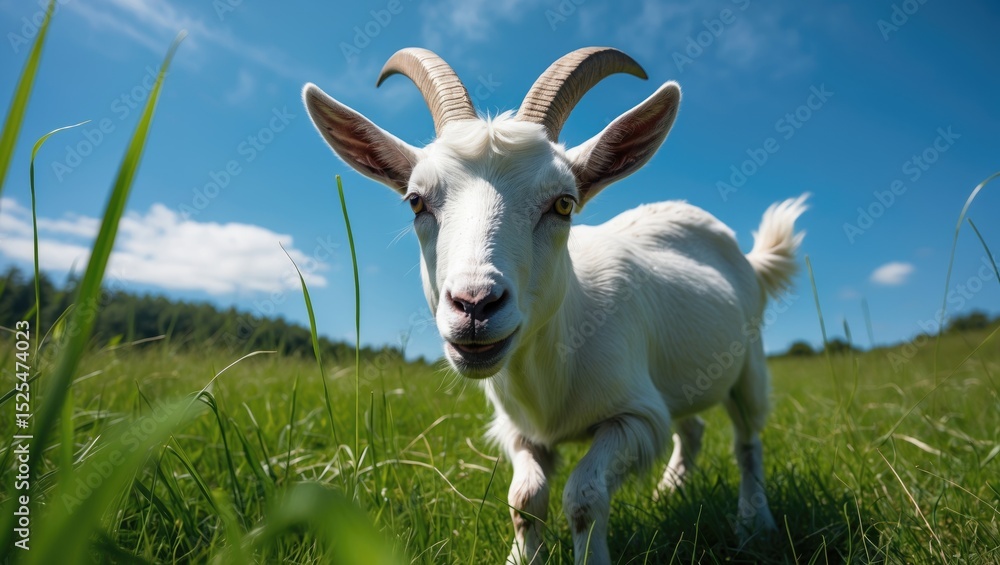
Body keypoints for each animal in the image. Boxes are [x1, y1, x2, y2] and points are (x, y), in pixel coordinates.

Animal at [303, 47, 807, 564]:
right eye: (416, 201)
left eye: (563, 204)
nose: (475, 305)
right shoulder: (518, 429)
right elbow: (525, 498)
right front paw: (521, 557)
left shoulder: (637, 416)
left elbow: (583, 494)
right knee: (693, 428)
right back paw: (671, 490)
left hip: (749, 363)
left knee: (747, 440)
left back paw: (755, 524)